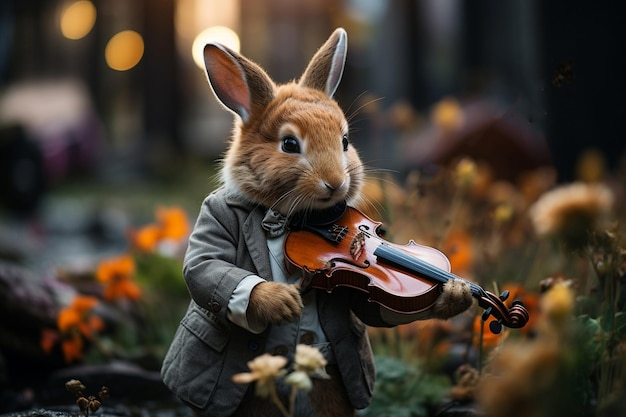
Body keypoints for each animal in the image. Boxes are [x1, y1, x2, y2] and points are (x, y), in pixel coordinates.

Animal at [160, 26, 468, 416]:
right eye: (290, 144)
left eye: (345, 141)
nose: (335, 183)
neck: (292, 219)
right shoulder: (213, 221)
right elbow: (206, 266)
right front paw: (281, 302)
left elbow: (371, 310)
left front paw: (456, 295)